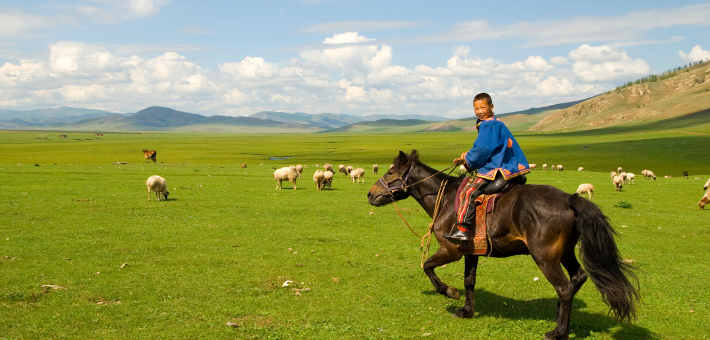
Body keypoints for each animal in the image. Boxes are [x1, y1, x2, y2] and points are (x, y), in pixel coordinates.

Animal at [370, 151, 644, 340]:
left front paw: (449, 292)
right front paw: (466, 310)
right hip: (565, 253)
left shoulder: (451, 250)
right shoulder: (471, 252)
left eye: (391, 173)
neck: (446, 200)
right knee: (578, 278)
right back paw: (559, 315)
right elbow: (469, 281)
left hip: (545, 258)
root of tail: (569, 199)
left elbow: (427, 266)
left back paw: (558, 332)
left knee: (564, 288)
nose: (370, 195)